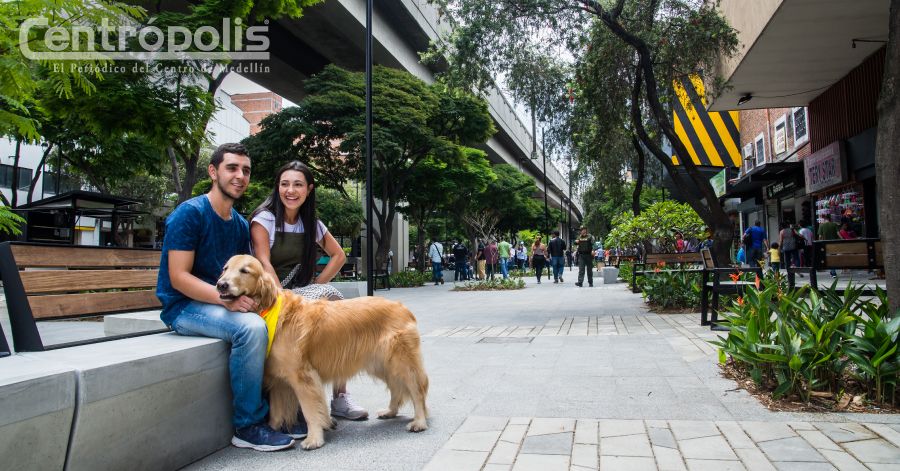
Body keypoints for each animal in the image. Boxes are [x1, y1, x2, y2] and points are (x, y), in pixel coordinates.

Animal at [217, 256, 428, 448]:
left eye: (244, 271)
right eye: (225, 268)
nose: (221, 285)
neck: (270, 309)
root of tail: (403, 307)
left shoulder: (303, 377)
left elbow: (311, 411)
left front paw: (314, 439)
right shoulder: (279, 380)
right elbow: (276, 414)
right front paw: (273, 434)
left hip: (401, 362)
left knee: (416, 390)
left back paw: (419, 421)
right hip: (381, 364)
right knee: (396, 388)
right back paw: (390, 411)